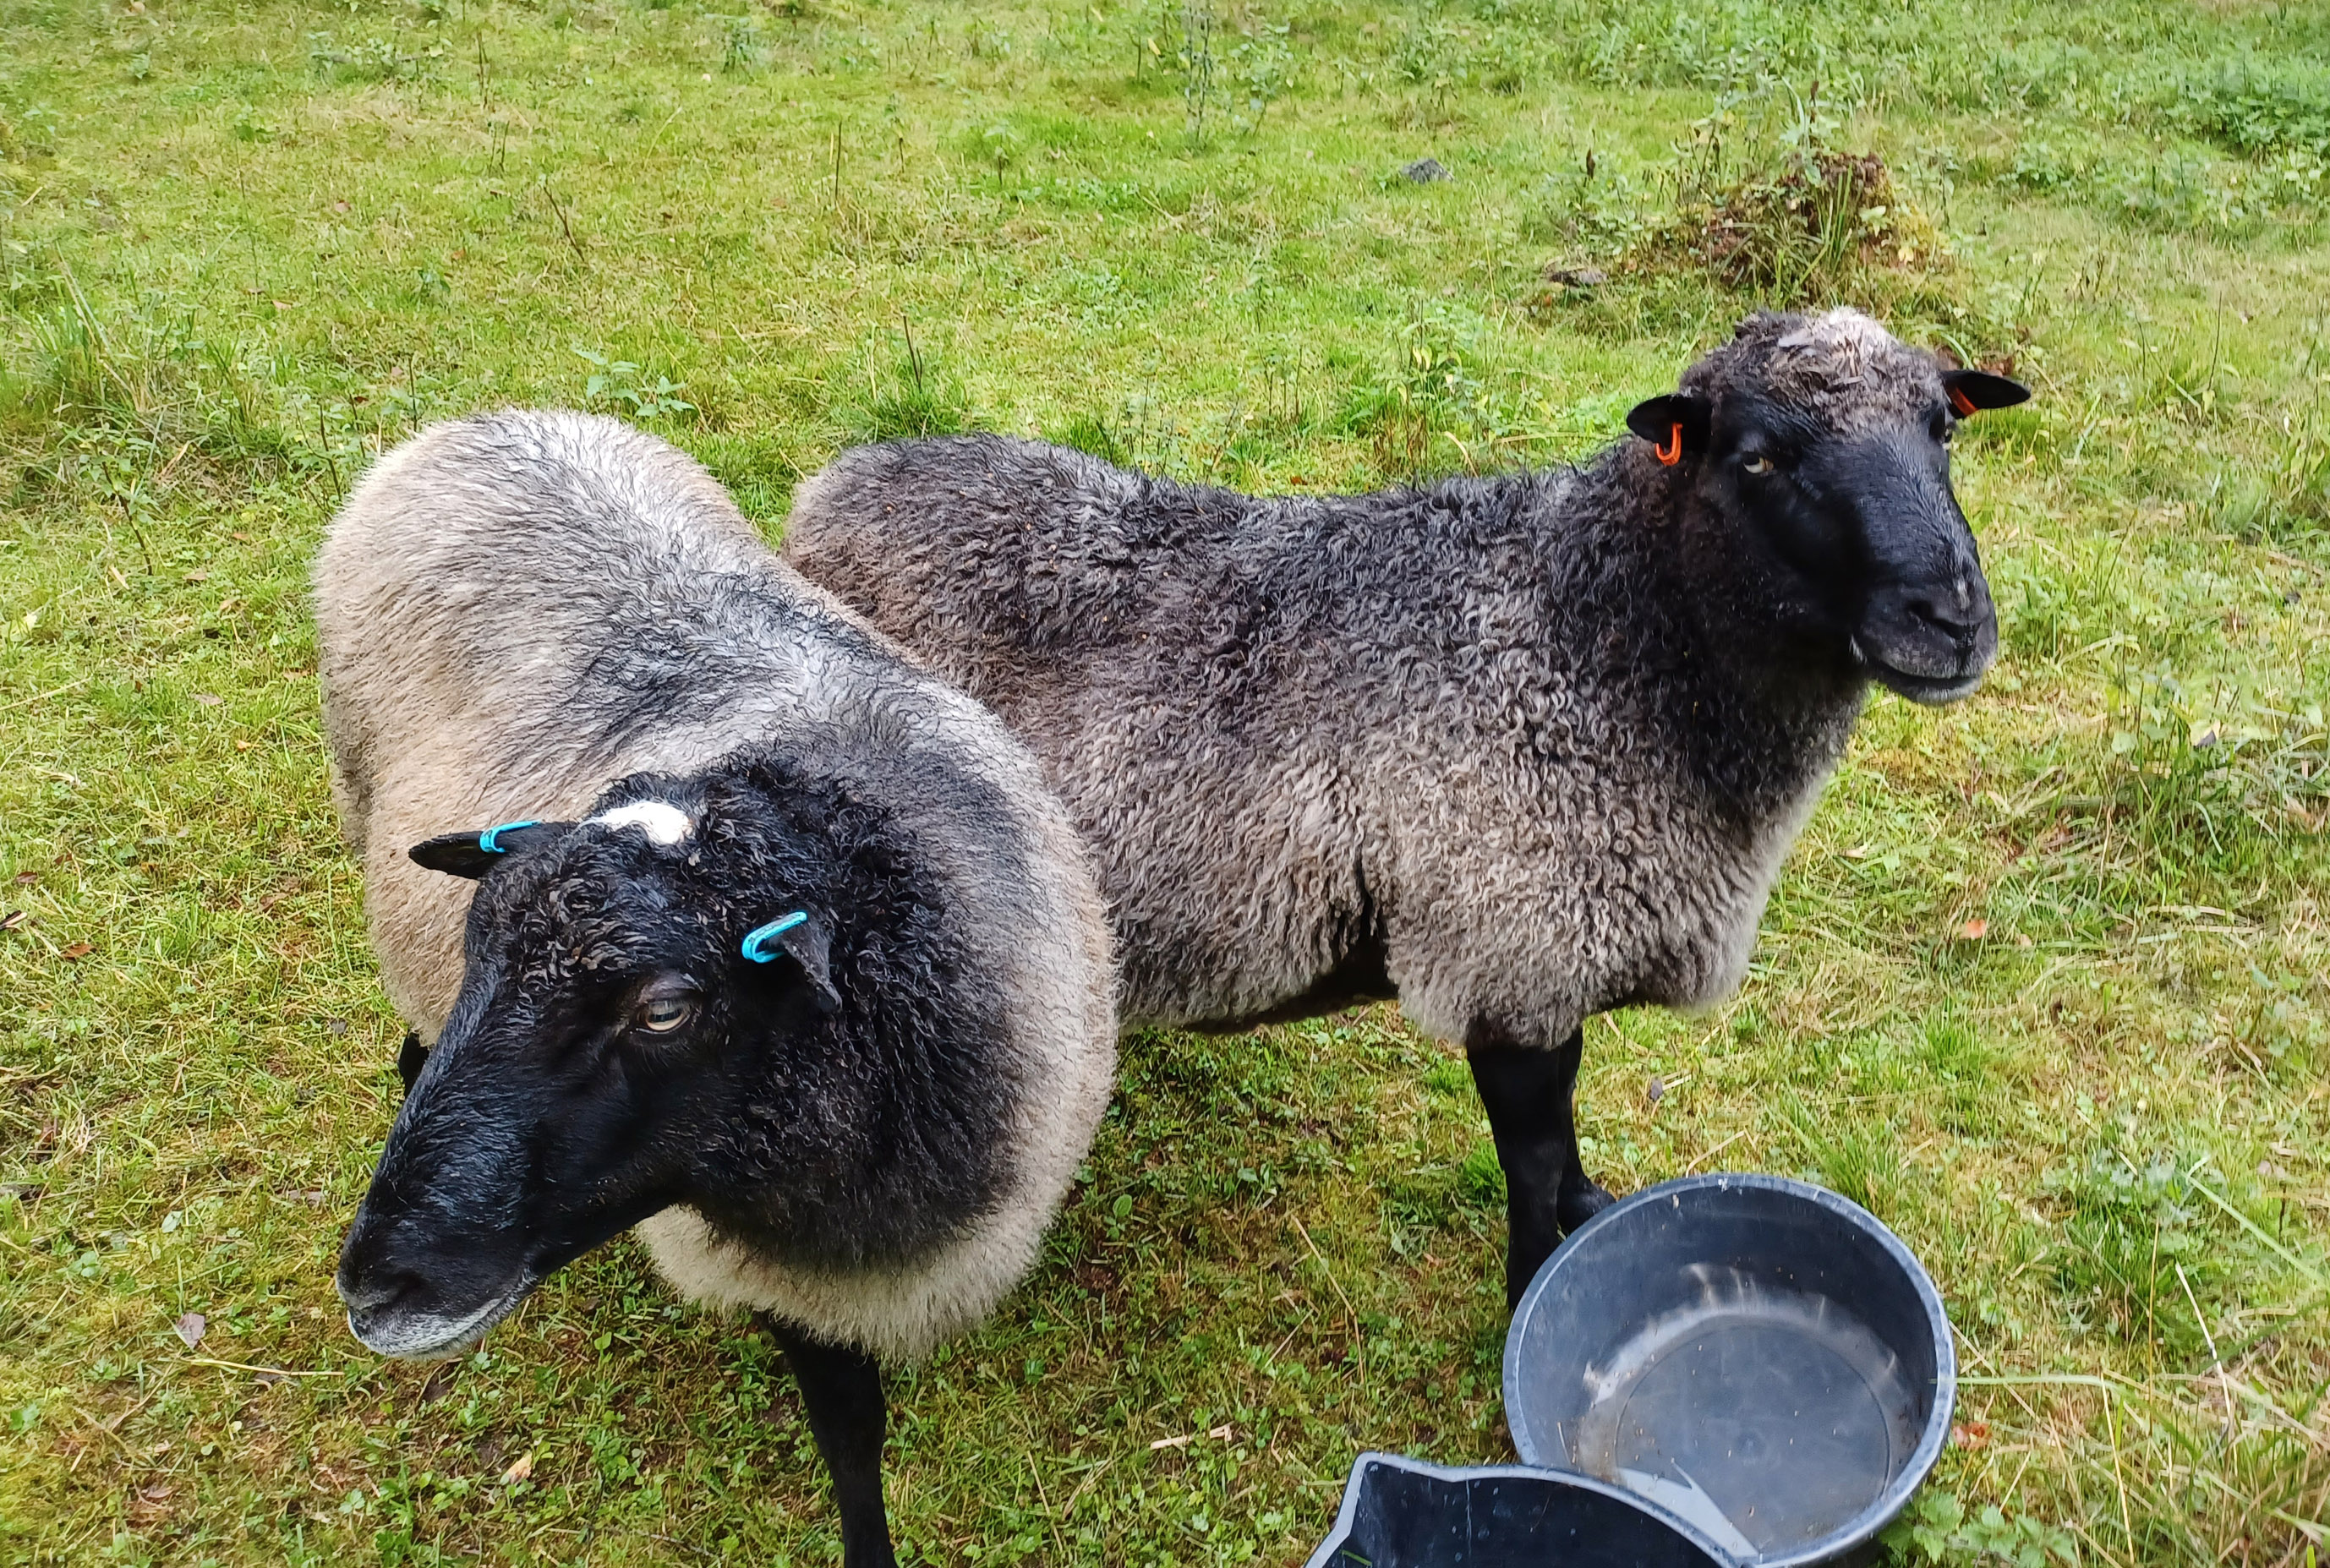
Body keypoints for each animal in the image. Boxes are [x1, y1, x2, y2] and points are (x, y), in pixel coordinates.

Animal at [315, 409, 1116, 1568]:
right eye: (478, 941)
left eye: (665, 1008)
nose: (377, 1288)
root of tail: (481, 421)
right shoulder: (783, 1291)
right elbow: (848, 1435)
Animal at [782, 308, 2028, 1307]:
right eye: (1761, 455)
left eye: (1943, 428)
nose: (1949, 615)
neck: (1601, 633)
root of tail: (827, 490)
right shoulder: (1511, 951)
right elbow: (1533, 1148)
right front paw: (1533, 1289)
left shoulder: (1551, 952)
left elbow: (1568, 1134)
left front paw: (1594, 1213)